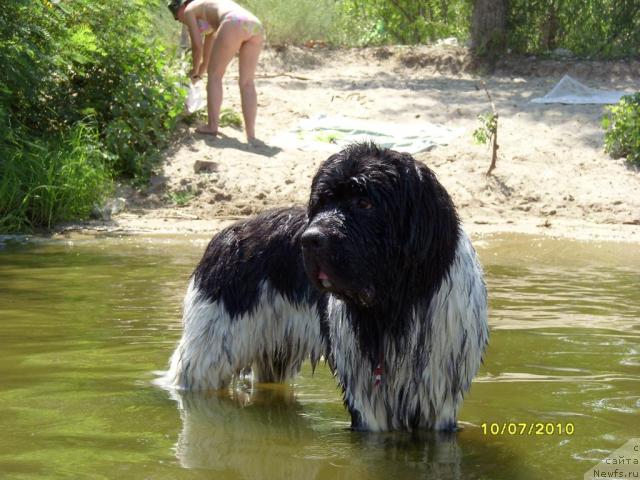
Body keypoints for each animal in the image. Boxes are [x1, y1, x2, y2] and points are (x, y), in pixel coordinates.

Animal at [161, 142, 490, 432]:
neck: (395, 305)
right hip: (210, 351)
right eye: (321, 203)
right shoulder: (368, 400)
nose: (309, 240)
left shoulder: (439, 396)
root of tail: (225, 233)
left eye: (364, 203)